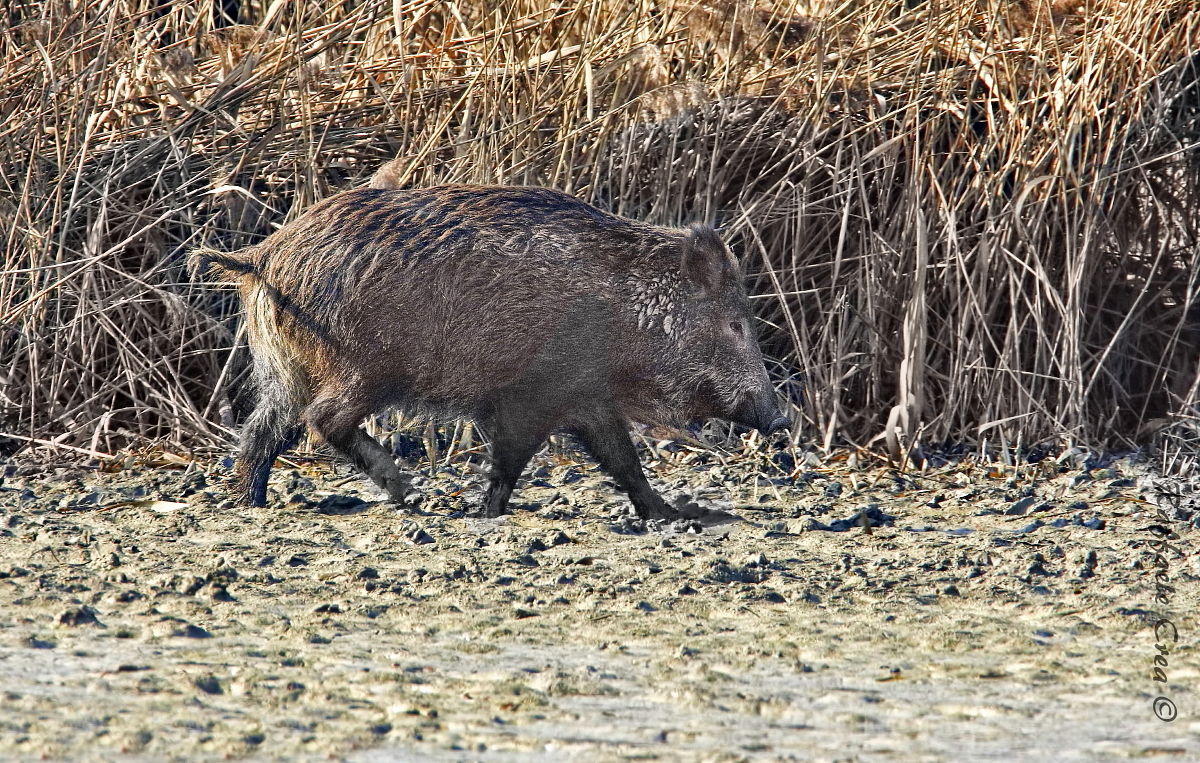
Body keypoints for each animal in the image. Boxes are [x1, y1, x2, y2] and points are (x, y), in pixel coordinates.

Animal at [188, 185, 789, 518]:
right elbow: (513, 459)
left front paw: (670, 513)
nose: (780, 418)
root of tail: (262, 255)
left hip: (285, 368)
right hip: (364, 368)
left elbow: (623, 461)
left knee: (262, 432)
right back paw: (402, 491)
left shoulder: (585, 398)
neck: (628, 312)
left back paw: (249, 503)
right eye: (736, 325)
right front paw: (486, 512)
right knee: (322, 420)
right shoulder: (534, 394)